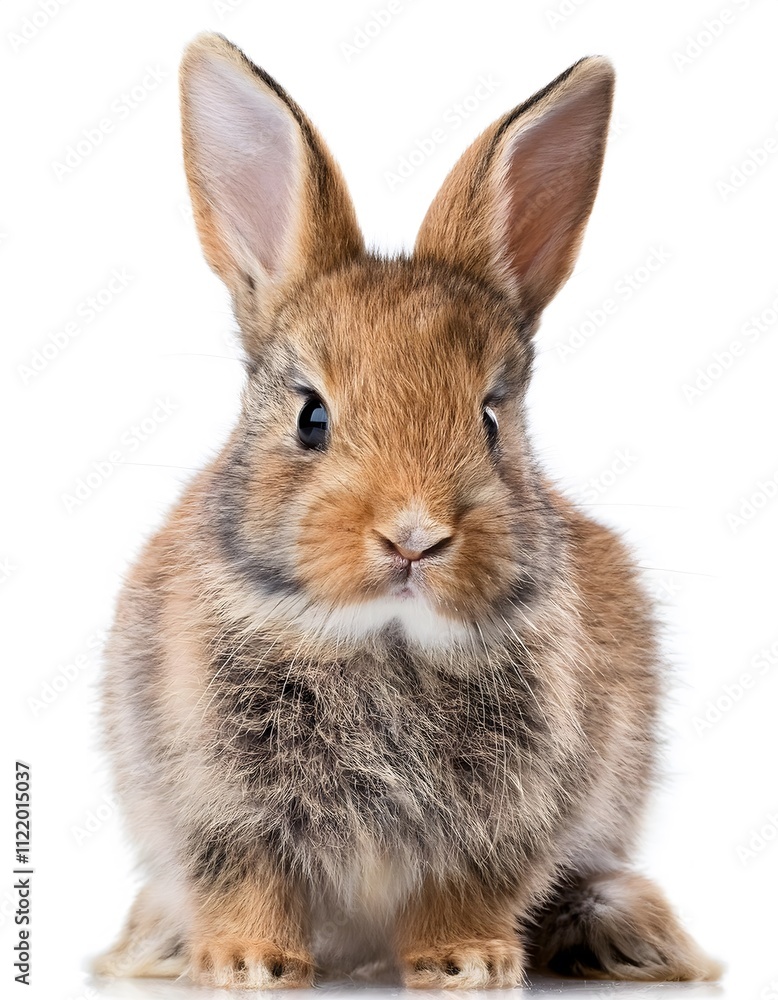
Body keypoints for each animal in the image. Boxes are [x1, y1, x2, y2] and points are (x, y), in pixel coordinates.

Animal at [94, 32, 722, 990]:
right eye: (312, 418)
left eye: (491, 420)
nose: (415, 537)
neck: (384, 638)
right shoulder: (215, 802)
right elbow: (248, 880)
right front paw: (247, 964)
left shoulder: (505, 822)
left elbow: (464, 891)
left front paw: (467, 964)